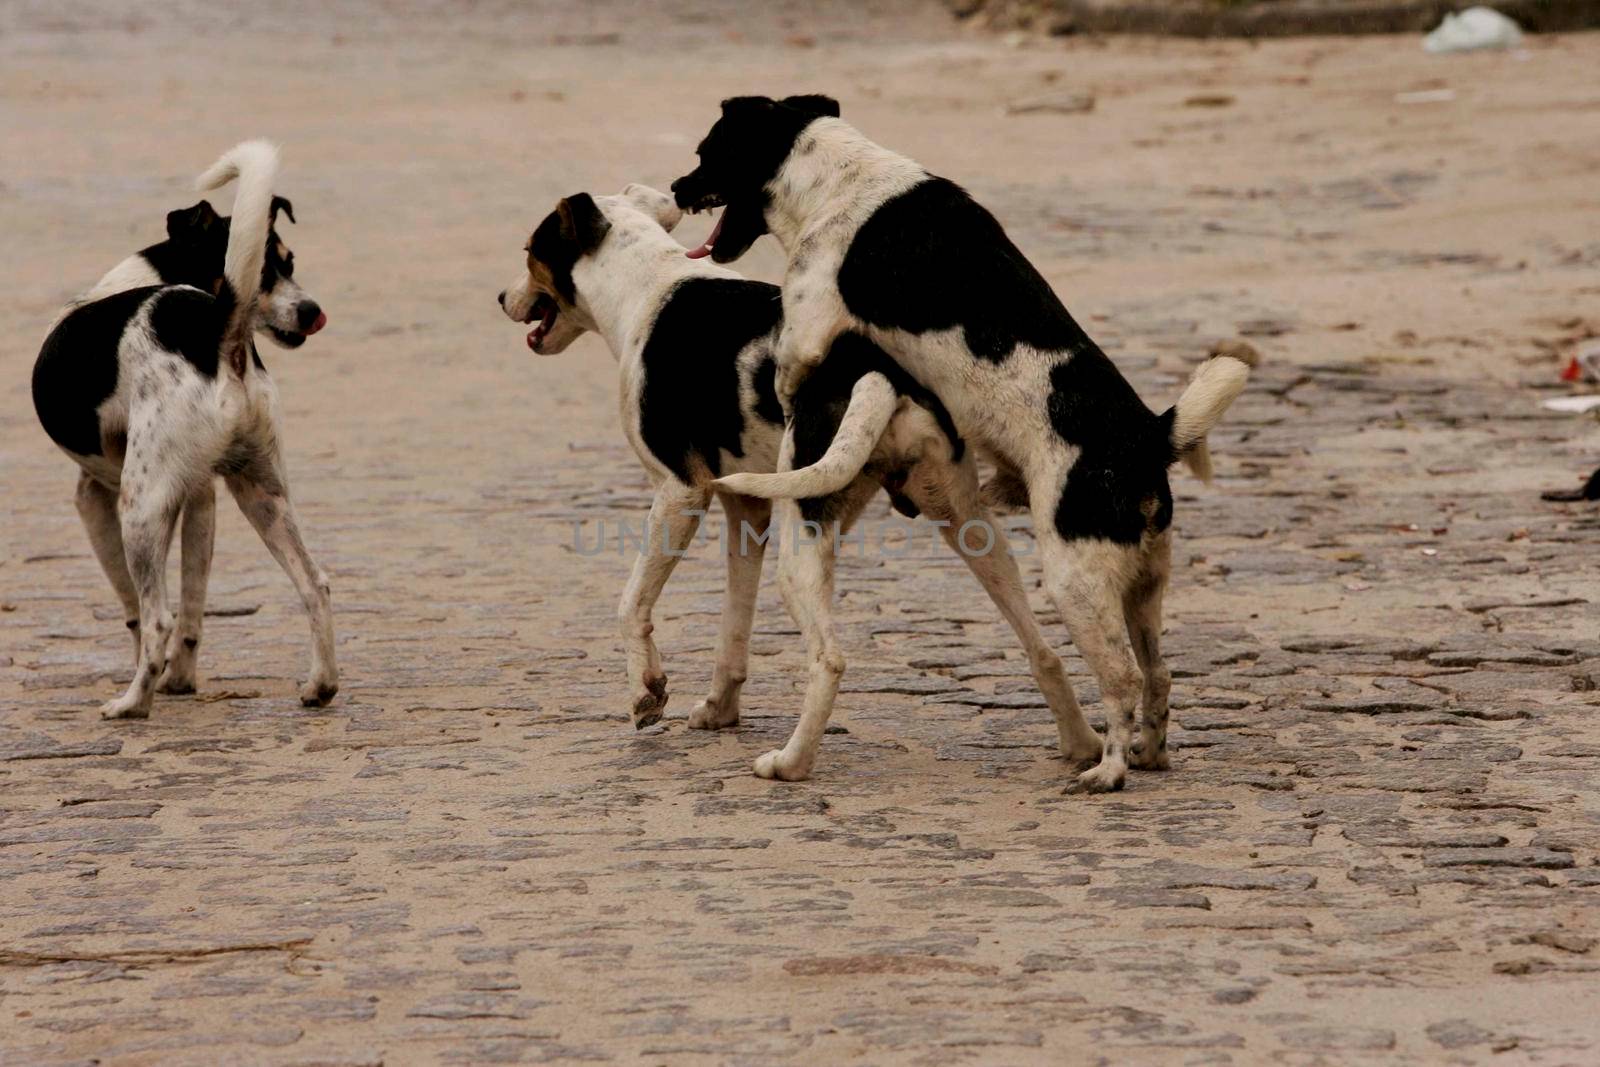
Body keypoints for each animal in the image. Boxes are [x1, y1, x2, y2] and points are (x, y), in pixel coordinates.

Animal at [32, 141, 337, 723]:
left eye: (288, 263)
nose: (314, 312)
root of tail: (219, 326)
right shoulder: (202, 496)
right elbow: (195, 606)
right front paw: (181, 681)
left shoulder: (93, 497)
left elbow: (135, 608)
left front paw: (155, 680)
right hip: (262, 493)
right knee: (315, 584)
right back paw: (321, 685)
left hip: (139, 506)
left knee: (157, 620)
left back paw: (131, 704)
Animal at [496, 187, 1100, 771]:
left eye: (528, 251)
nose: (501, 298)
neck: (646, 287)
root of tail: (879, 374)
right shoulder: (747, 516)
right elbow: (733, 631)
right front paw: (719, 710)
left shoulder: (678, 492)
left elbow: (631, 605)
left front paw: (647, 693)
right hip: (966, 528)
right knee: (1043, 649)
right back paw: (1083, 746)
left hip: (801, 546)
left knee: (829, 658)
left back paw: (790, 763)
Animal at [668, 93, 1254, 793]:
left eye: (706, 152)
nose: (675, 188)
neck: (833, 178)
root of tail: (1146, 438)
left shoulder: (804, 340)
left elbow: (790, 372)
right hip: (1141, 585)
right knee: (1160, 673)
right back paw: (1150, 754)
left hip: (1075, 584)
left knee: (1122, 677)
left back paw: (1109, 770)